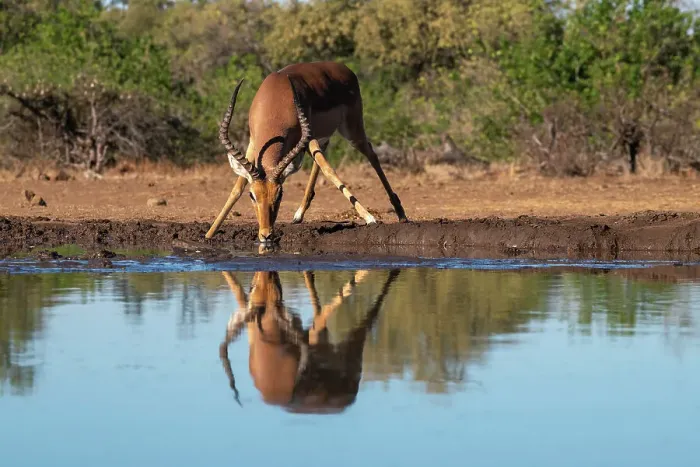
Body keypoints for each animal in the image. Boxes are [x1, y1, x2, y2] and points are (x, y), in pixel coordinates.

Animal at [205, 61, 408, 244]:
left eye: (280, 195)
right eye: (252, 195)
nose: (266, 235)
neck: (275, 100)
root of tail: (344, 69)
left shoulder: (307, 136)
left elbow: (329, 170)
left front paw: (370, 218)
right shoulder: (253, 143)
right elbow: (237, 186)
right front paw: (210, 232)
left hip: (350, 130)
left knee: (370, 154)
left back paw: (401, 213)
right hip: (323, 136)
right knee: (321, 158)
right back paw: (298, 215)